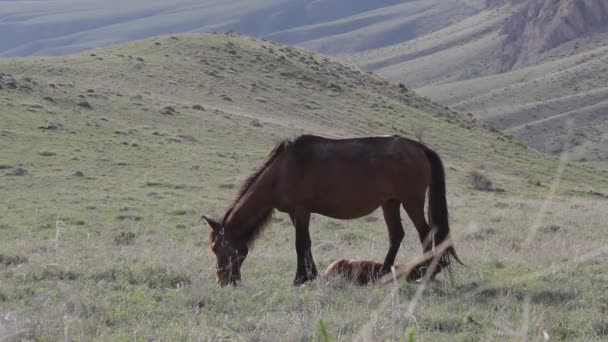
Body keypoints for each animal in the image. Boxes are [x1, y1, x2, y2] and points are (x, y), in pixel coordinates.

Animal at [203, 134, 460, 286]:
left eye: (217, 248)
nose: (223, 281)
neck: (282, 170)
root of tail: (419, 148)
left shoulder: (302, 209)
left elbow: (300, 244)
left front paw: (299, 278)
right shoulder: (295, 213)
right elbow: (306, 243)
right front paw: (310, 275)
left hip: (411, 201)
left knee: (425, 234)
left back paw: (425, 273)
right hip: (391, 202)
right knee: (396, 235)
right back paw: (384, 274)